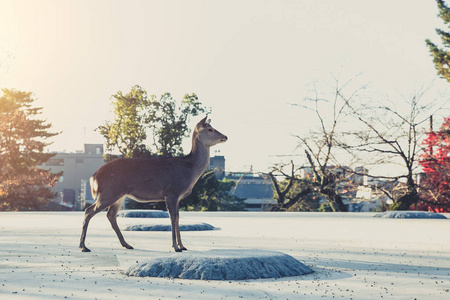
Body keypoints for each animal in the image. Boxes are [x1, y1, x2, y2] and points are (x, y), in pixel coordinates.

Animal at [78, 116, 229, 252]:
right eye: (210, 129)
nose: (225, 137)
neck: (190, 170)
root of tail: (94, 176)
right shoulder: (172, 193)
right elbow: (173, 218)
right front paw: (175, 247)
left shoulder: (178, 197)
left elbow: (178, 218)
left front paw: (182, 246)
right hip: (108, 192)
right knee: (88, 211)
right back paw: (83, 246)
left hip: (118, 195)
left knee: (110, 215)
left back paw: (127, 244)